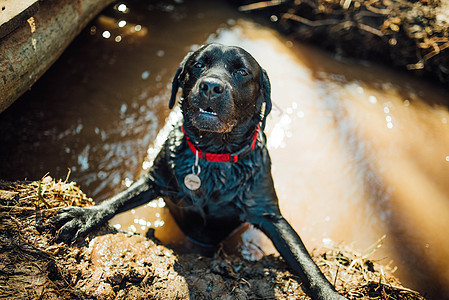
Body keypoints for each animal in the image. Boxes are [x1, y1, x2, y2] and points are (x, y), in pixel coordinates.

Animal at [53, 43, 346, 298]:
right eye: (198, 64)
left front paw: (329, 293)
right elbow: (119, 199)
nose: (211, 86)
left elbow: (305, 262)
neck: (214, 155)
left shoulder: (270, 215)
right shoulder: (156, 178)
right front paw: (85, 215)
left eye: (242, 72)